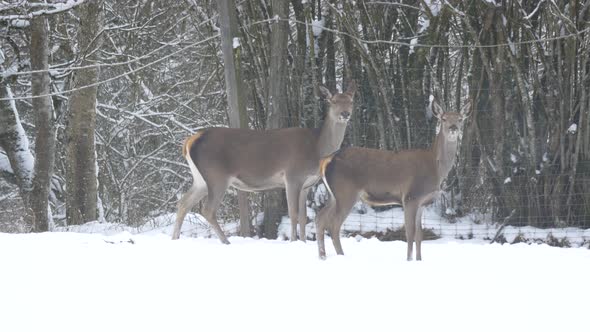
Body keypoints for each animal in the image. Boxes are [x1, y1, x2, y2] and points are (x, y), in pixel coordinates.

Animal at [171, 82, 356, 244]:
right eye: (333, 101)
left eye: (351, 101)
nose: (345, 114)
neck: (316, 149)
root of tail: (189, 141)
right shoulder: (292, 176)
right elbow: (293, 214)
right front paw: (294, 241)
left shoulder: (307, 184)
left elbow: (304, 217)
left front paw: (303, 242)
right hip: (216, 175)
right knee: (207, 210)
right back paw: (226, 241)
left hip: (200, 179)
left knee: (183, 203)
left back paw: (175, 239)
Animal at [316, 98, 474, 260]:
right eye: (444, 119)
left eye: (460, 119)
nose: (453, 128)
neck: (436, 168)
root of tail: (326, 160)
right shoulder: (411, 197)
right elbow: (410, 233)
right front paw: (409, 259)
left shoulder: (422, 203)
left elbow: (419, 235)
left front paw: (419, 260)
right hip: (346, 192)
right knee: (334, 225)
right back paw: (341, 256)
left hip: (334, 195)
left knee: (320, 219)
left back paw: (323, 256)